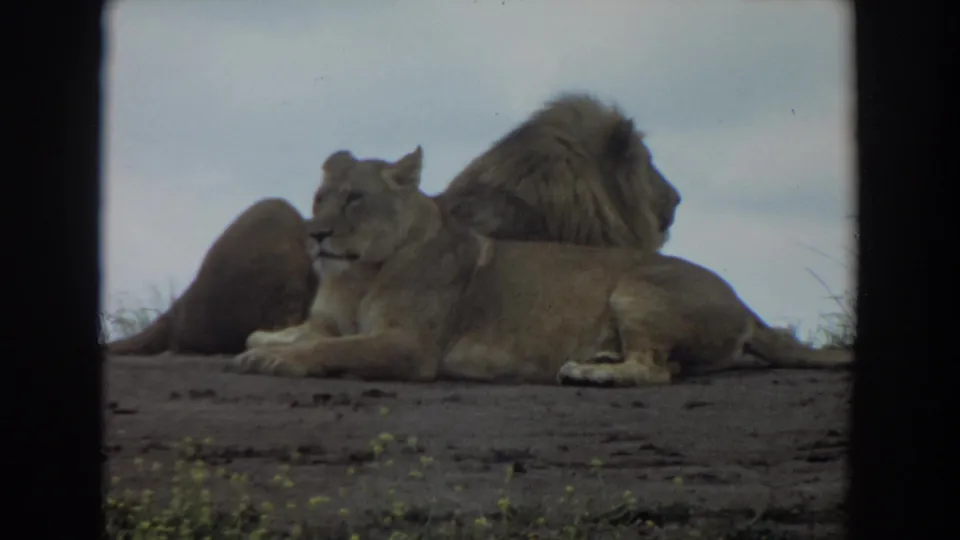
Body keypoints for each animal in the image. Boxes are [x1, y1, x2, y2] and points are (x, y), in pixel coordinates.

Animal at [231, 147, 851, 386]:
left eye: (355, 199)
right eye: (319, 198)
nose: (314, 235)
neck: (357, 274)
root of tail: (746, 304)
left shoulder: (411, 346)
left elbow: (336, 348)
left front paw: (276, 358)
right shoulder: (331, 317)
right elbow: (308, 331)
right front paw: (266, 340)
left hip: (637, 289)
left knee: (655, 370)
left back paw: (592, 372)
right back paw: (599, 357)